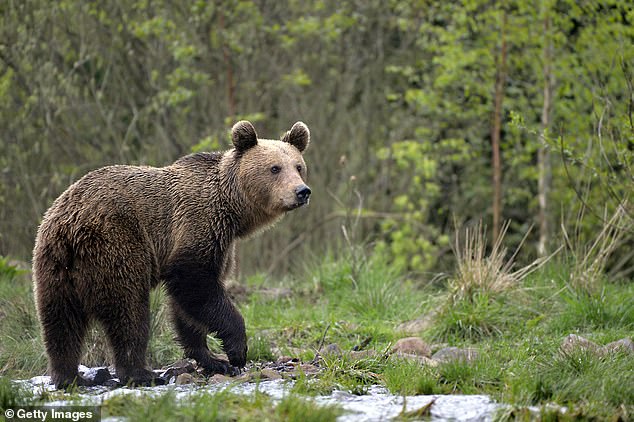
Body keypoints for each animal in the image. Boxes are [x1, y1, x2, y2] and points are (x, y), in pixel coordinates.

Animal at [31, 120, 308, 388]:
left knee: (60, 322)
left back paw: (68, 376)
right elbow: (195, 284)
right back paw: (141, 373)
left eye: (298, 166)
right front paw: (236, 351)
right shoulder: (198, 227)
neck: (231, 209)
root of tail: (70, 224)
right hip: (116, 243)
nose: (302, 191)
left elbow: (187, 306)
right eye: (275, 168)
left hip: (54, 265)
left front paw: (213, 359)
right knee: (129, 310)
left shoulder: (222, 243)